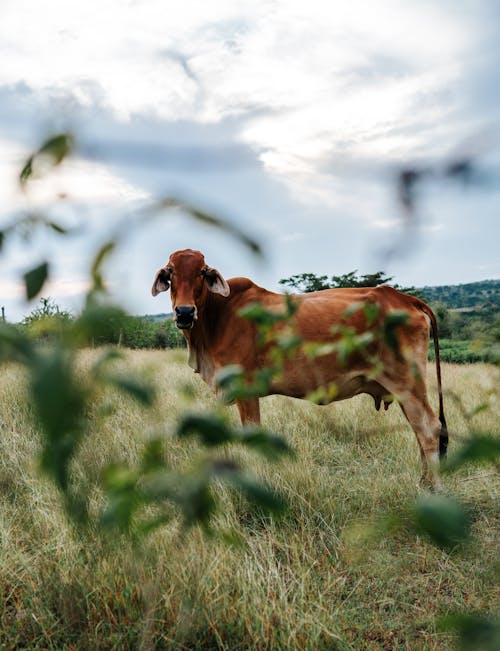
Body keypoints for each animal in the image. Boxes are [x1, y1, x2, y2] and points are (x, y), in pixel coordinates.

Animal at [150, 250, 448, 488]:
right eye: (171, 271)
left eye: (202, 272)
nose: (185, 312)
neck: (217, 316)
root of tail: (404, 298)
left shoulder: (246, 390)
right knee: (418, 429)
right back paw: (422, 482)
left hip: (408, 382)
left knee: (429, 428)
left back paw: (433, 490)